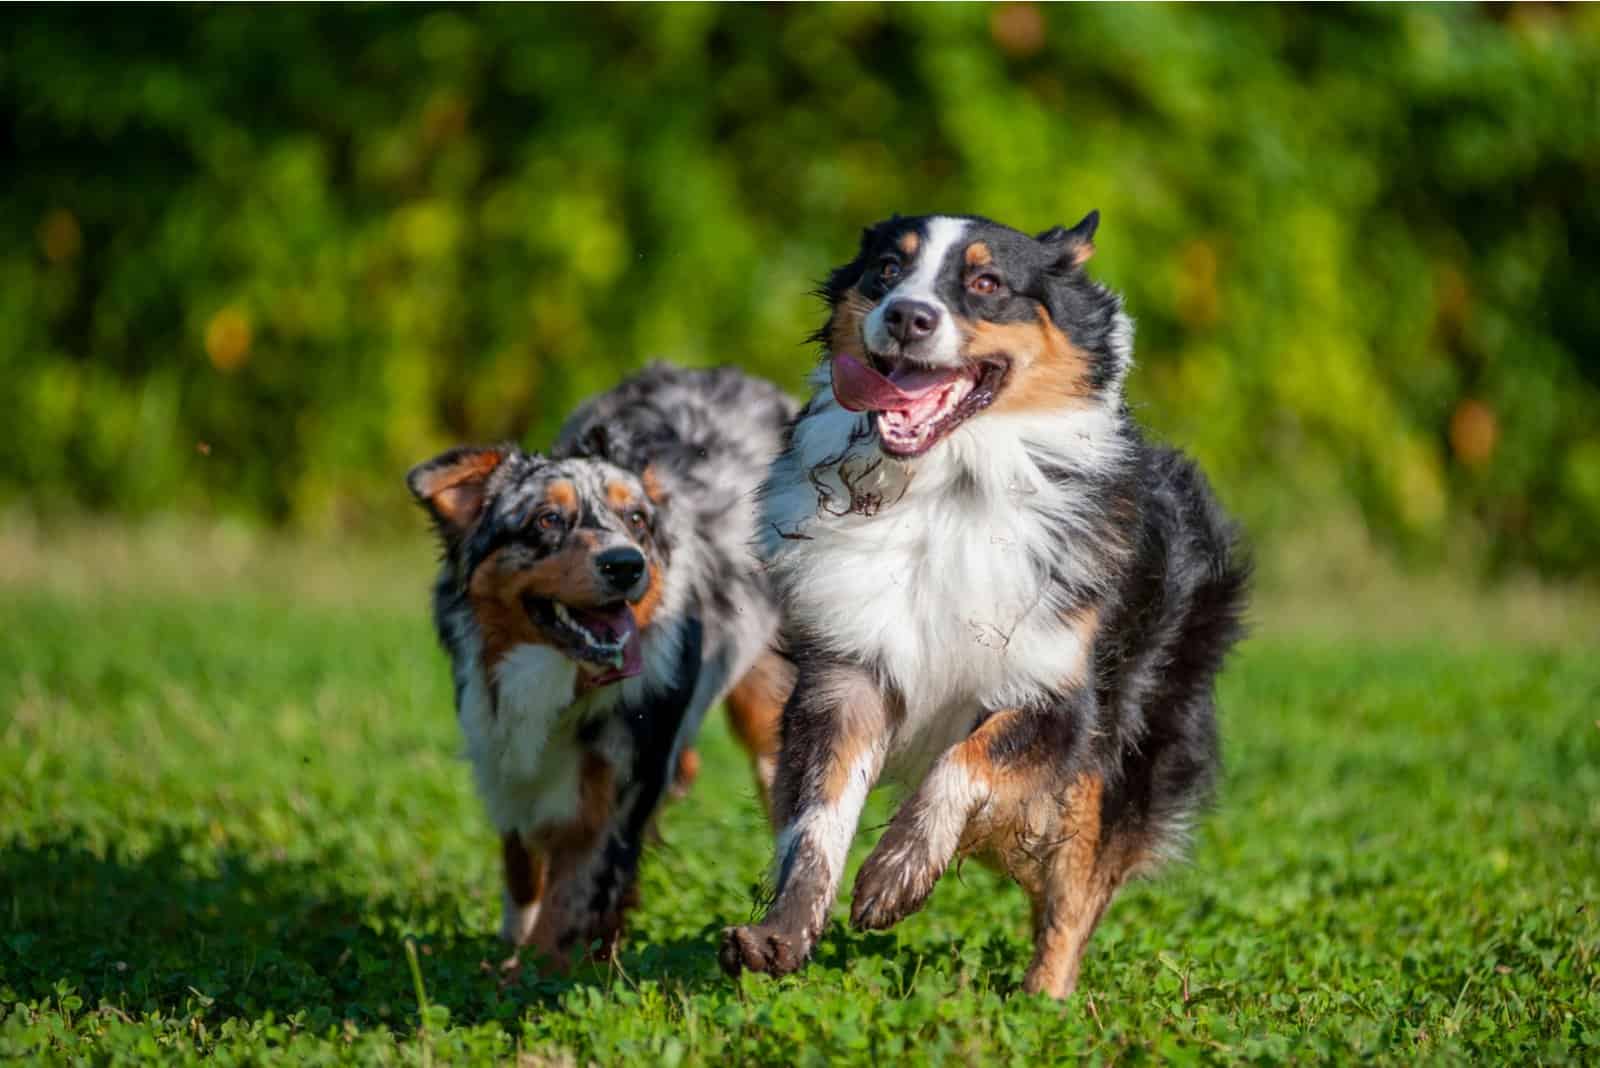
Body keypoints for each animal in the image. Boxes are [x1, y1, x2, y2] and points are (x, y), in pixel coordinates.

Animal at [409, 364, 790, 965]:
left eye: (635, 519)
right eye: (547, 520)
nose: (625, 565)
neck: (557, 674)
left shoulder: (618, 790)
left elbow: (569, 907)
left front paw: (530, 973)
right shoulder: (504, 756)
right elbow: (522, 867)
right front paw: (509, 947)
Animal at [720, 212, 1254, 997]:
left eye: (986, 282)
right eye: (886, 270)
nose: (906, 316)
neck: (946, 485)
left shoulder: (1060, 694)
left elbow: (966, 760)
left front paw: (896, 874)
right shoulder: (848, 671)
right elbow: (819, 815)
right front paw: (779, 934)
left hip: (1126, 749)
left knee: (1076, 889)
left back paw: (1045, 1002)